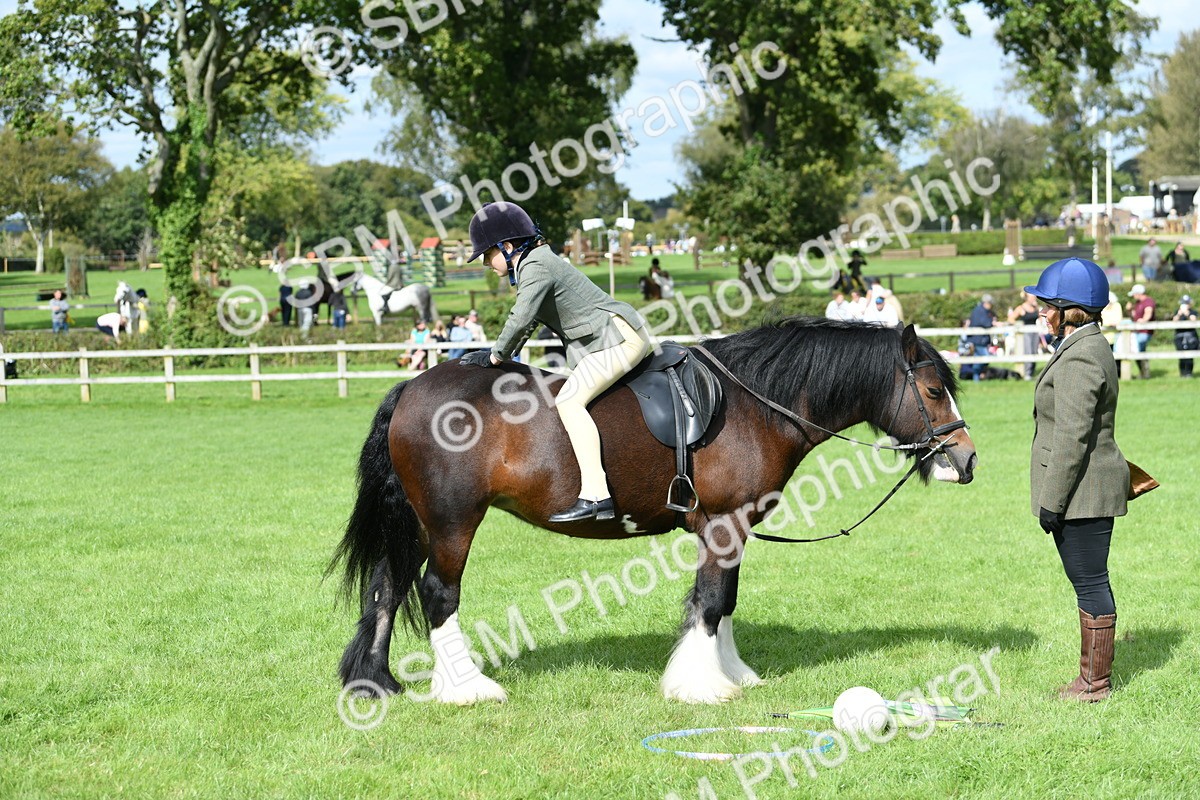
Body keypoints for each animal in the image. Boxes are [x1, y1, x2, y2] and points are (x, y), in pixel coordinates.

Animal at [329, 318, 978, 705]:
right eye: (933, 391)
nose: (966, 460)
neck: (754, 404)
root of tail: (411, 389)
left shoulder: (730, 529)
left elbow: (724, 601)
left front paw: (732, 673)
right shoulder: (723, 524)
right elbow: (711, 603)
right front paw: (700, 685)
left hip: (417, 523)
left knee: (388, 587)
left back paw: (377, 682)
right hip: (452, 522)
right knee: (438, 592)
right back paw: (468, 688)